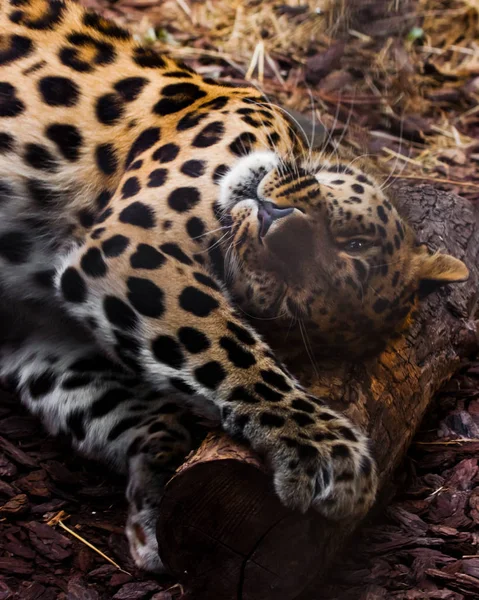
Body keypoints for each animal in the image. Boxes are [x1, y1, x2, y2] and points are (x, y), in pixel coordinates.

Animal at [0, 0, 468, 576]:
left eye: (289, 297)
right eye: (354, 242)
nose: (275, 225)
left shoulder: (42, 337)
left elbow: (117, 402)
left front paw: (157, 491)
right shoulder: (129, 245)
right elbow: (231, 352)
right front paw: (324, 448)